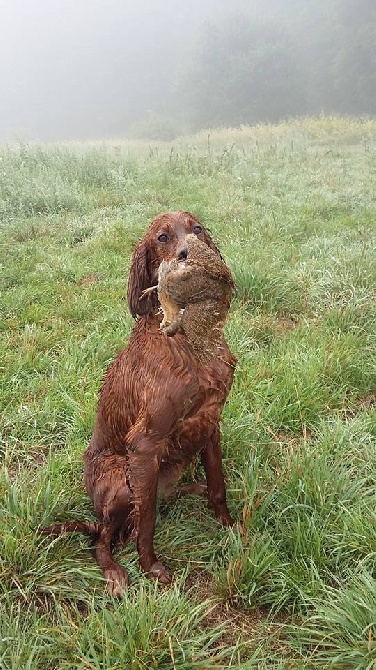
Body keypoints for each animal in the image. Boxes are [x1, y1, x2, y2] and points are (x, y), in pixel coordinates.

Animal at [41, 211, 235, 600]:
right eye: (162, 237)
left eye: (197, 229)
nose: (188, 255)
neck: (189, 339)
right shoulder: (144, 445)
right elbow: (146, 523)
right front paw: (151, 568)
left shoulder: (211, 421)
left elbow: (218, 484)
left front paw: (229, 524)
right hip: (120, 480)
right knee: (105, 538)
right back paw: (114, 571)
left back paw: (191, 491)